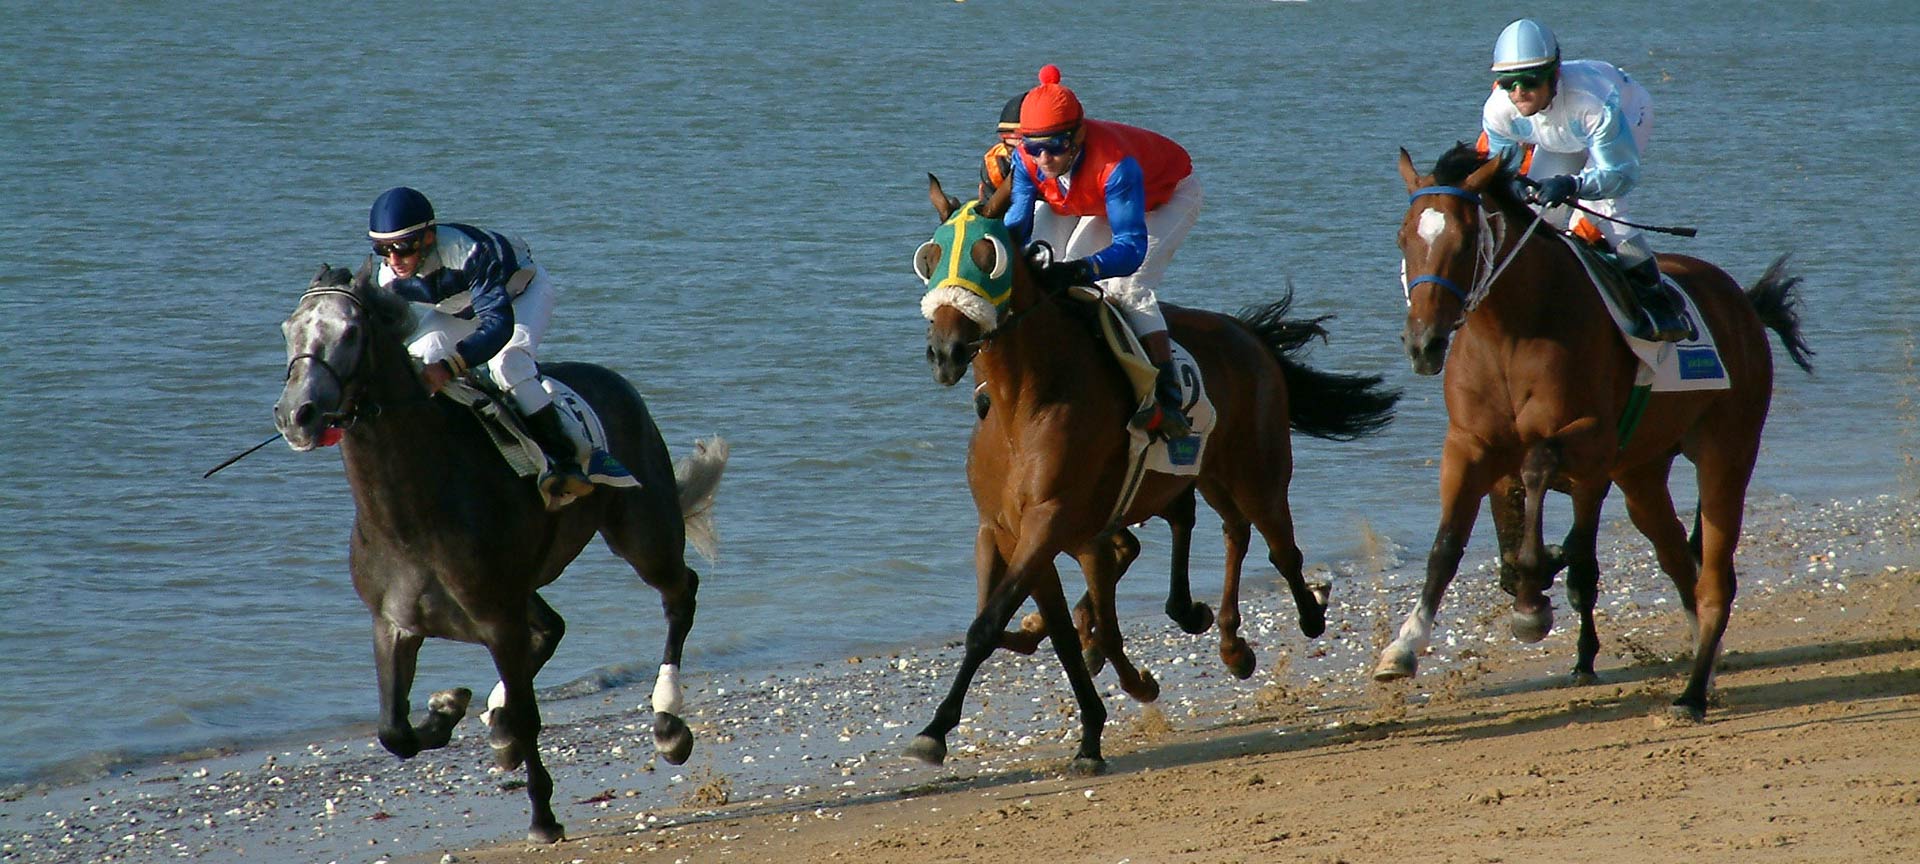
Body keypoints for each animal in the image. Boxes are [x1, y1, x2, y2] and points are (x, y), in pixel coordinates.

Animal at [272, 261, 728, 841]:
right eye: (289, 329)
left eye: (350, 332)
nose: (297, 415)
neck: (412, 513)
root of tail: (618, 384)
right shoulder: (394, 622)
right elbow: (393, 731)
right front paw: (450, 709)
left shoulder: (496, 618)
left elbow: (529, 716)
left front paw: (542, 818)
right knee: (552, 628)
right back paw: (497, 718)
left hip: (644, 535)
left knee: (679, 594)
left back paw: (667, 722)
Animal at [908, 176, 1400, 773]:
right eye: (929, 258)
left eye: (988, 255)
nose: (945, 352)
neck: (1021, 403)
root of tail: (1246, 333)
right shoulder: (1007, 529)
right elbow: (1051, 633)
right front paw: (1087, 731)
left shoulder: (1049, 520)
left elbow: (990, 624)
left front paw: (935, 730)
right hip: (1205, 473)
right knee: (1230, 531)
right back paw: (1226, 638)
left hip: (1257, 469)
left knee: (1281, 547)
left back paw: (1306, 613)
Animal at [1383, 144, 1813, 721]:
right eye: (1404, 236)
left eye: (1466, 240)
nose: (1423, 343)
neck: (1510, 333)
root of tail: (1741, 302)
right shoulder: (1469, 445)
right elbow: (1445, 546)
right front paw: (1403, 647)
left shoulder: (1591, 440)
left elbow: (1538, 468)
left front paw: (1532, 597)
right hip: (1643, 477)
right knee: (1680, 563)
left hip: (1728, 452)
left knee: (1715, 578)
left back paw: (1691, 694)